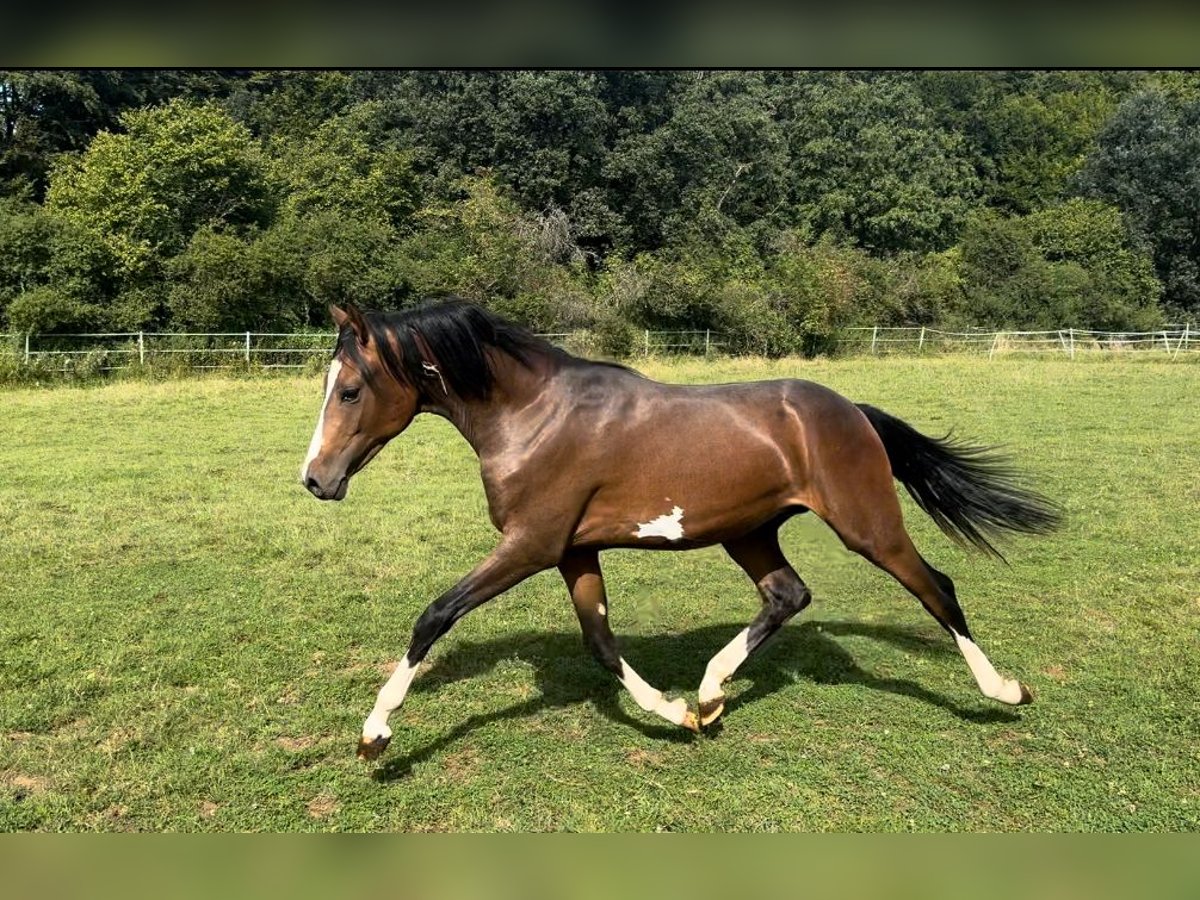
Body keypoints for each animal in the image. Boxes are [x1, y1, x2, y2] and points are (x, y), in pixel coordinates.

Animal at [300, 297, 1060, 763]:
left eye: (350, 390)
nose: (315, 478)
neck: (532, 415)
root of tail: (852, 411)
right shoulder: (572, 551)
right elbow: (602, 643)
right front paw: (679, 714)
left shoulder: (530, 545)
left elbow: (435, 614)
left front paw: (375, 734)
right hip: (750, 531)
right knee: (788, 595)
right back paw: (712, 692)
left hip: (867, 526)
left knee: (938, 588)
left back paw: (1004, 691)